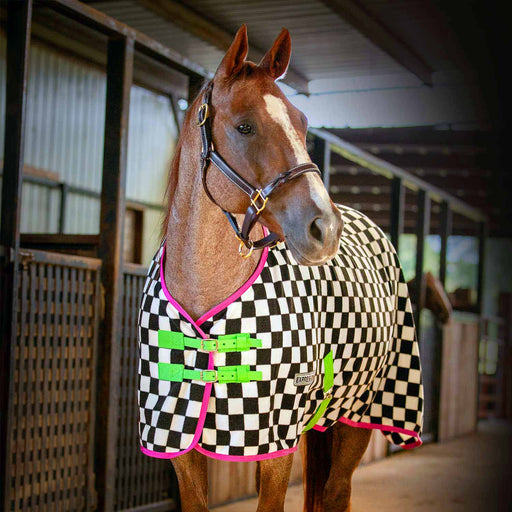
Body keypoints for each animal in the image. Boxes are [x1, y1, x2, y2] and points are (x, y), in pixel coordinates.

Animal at [164, 27, 372, 512]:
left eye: (302, 123)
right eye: (245, 126)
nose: (325, 227)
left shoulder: (276, 445)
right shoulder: (178, 441)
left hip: (360, 415)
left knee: (336, 491)